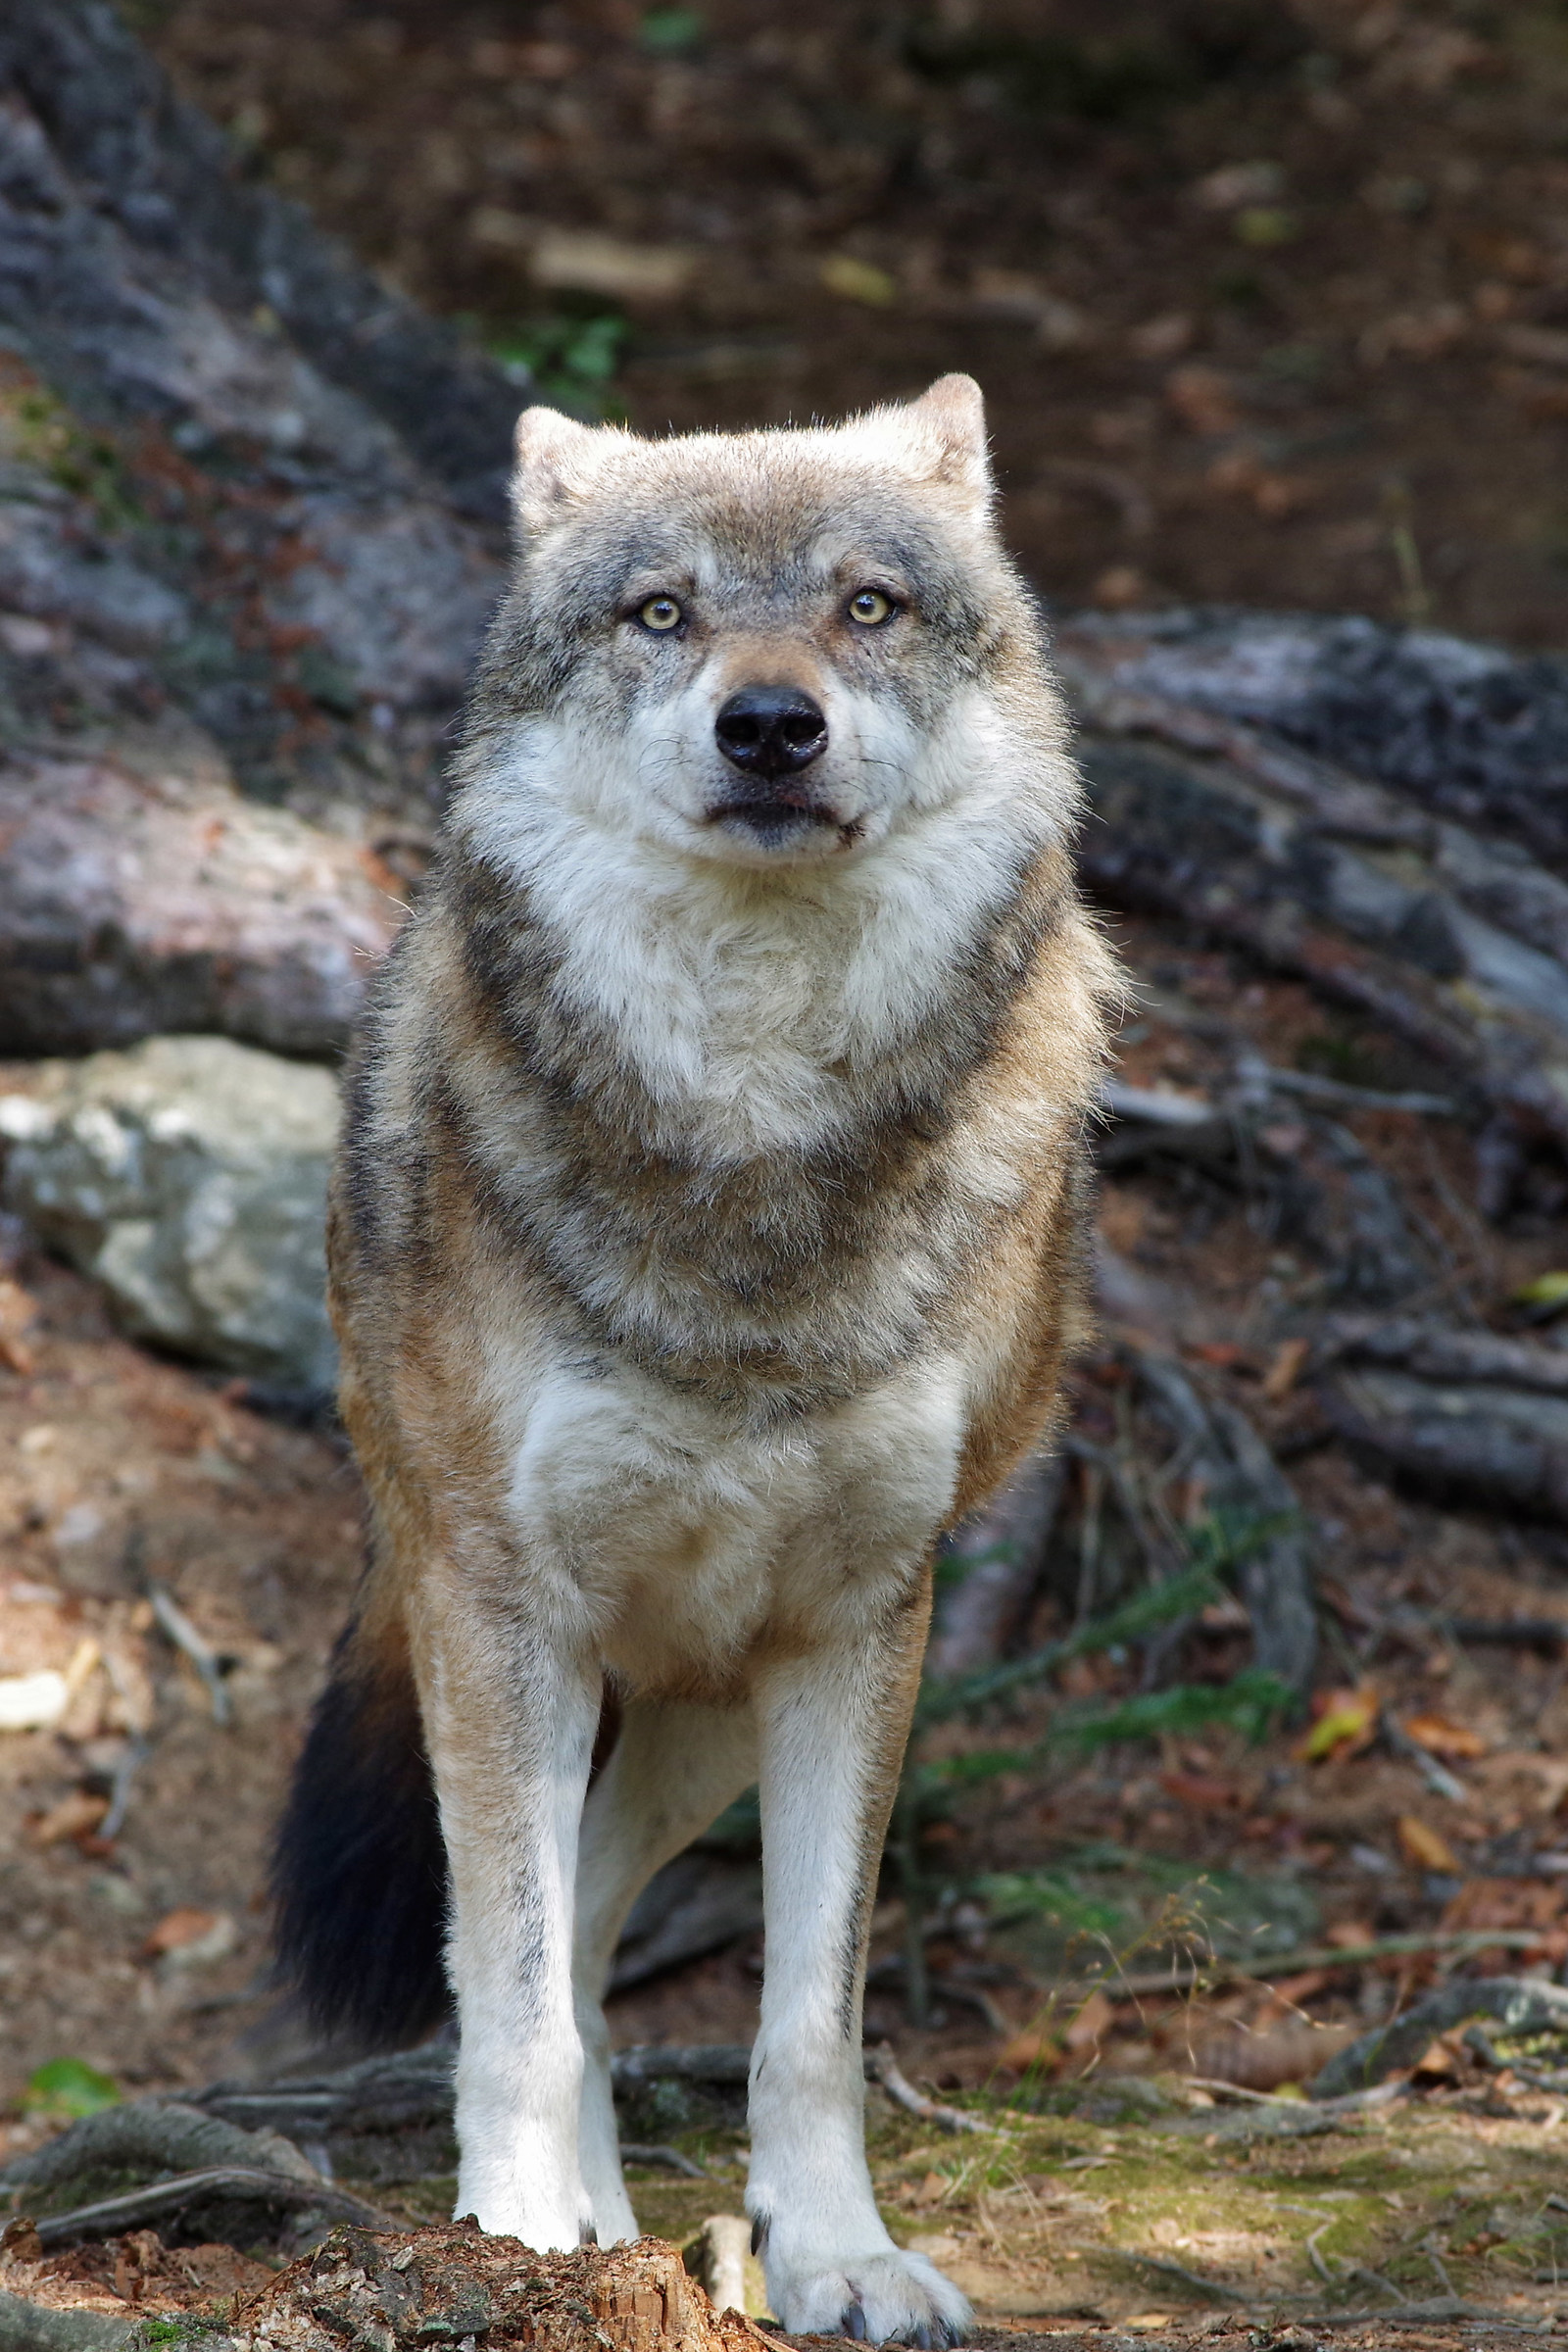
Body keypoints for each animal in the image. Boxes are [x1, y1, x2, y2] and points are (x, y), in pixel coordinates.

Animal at [273, 373, 1118, 2345]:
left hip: (706, 1708)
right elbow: (503, 1999)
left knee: (589, 1931)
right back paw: (570, 2216)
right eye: (664, 614)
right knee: (516, 1955)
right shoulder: (504, 1603)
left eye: (866, 607)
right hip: (517, 1638)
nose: (771, 724)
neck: (756, 1144)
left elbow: (808, 2017)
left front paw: (836, 2254)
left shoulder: (856, 1627)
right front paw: (516, 2242)